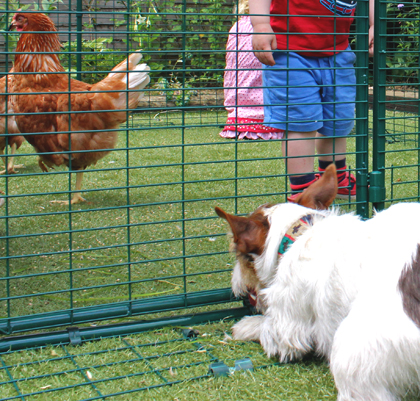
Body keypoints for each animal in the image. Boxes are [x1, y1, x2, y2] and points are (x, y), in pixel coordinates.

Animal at [217, 164, 420, 398]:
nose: (236, 284)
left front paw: (244, 325)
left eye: (241, 257)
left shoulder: (287, 326)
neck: (300, 235)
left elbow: (266, 327)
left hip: (351, 346)